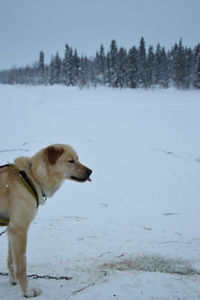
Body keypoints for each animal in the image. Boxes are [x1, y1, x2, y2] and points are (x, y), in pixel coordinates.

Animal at [0, 144, 92, 296]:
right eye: (71, 161)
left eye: (78, 158)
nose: (90, 171)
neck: (31, 176)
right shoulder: (19, 230)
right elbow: (22, 268)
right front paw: (27, 292)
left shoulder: (11, 229)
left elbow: (10, 260)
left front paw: (13, 281)